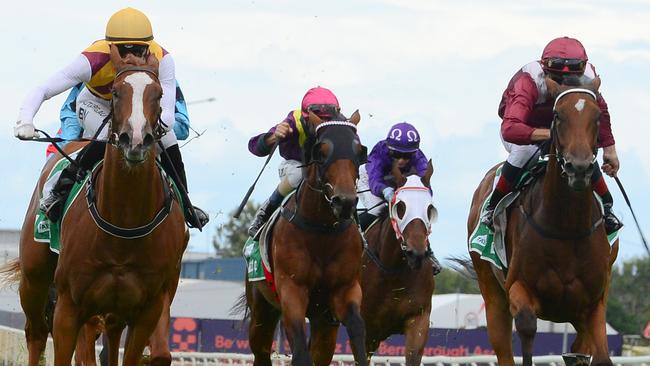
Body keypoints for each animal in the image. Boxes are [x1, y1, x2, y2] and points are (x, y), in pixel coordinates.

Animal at [3, 46, 187, 366]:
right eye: (115, 91)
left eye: (159, 94)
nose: (135, 140)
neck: (125, 222)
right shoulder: (69, 306)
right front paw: (24, 126)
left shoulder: (149, 307)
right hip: (35, 277)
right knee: (36, 333)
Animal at [243, 111, 368, 366]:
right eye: (321, 151)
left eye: (359, 151)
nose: (345, 201)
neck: (321, 231)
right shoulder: (292, 291)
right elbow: (300, 348)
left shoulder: (345, 289)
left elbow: (357, 328)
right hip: (261, 308)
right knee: (261, 350)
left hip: (323, 322)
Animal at [466, 77, 616, 366]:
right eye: (557, 115)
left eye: (598, 117)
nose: (579, 168)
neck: (566, 227)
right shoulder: (518, 290)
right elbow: (527, 328)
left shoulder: (593, 304)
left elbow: (600, 356)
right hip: (491, 292)